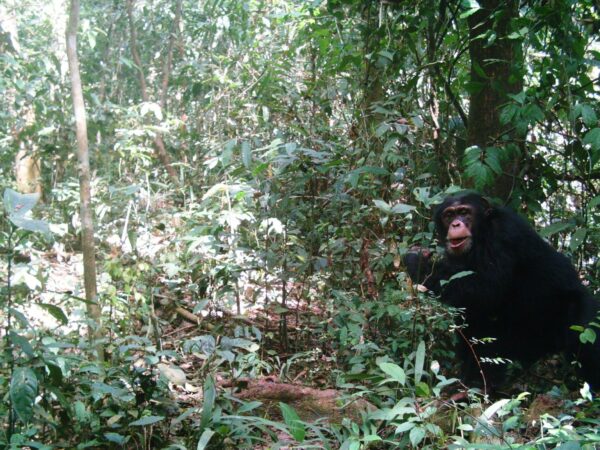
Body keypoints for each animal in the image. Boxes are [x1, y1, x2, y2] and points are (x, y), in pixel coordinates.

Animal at [406, 192, 596, 388]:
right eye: (449, 215)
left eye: (464, 212)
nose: (456, 224)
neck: (482, 234)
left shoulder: (504, 234)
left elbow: (487, 288)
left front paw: (418, 261)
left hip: (581, 313)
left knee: (584, 339)